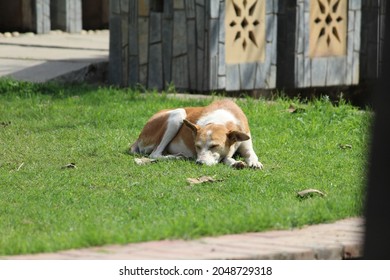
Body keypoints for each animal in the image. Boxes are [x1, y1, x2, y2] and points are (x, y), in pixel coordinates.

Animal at [130, 98, 262, 168]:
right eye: (197, 146)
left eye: (214, 146)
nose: (199, 163)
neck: (220, 120)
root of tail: (138, 137)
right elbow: (225, 158)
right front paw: (234, 162)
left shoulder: (246, 141)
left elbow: (251, 154)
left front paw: (254, 162)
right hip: (178, 114)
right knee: (155, 154)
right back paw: (177, 156)